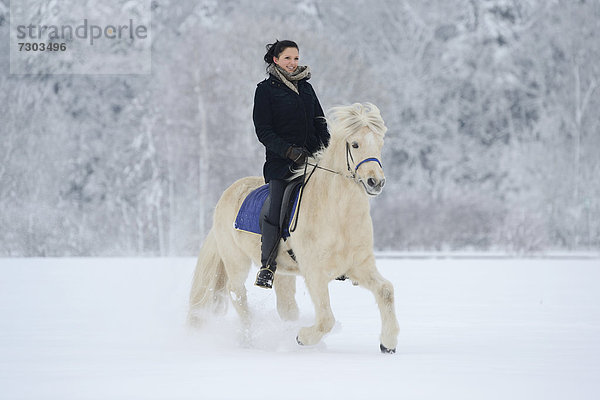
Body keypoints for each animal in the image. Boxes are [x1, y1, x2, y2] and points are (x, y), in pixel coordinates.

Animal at [190, 102, 400, 354]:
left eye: (380, 143)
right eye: (355, 143)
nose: (376, 182)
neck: (338, 216)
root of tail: (228, 193)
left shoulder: (360, 266)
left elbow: (386, 291)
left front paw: (388, 343)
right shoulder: (315, 272)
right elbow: (326, 319)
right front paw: (302, 338)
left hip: (281, 272)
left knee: (286, 307)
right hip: (236, 261)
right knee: (236, 293)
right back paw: (249, 340)